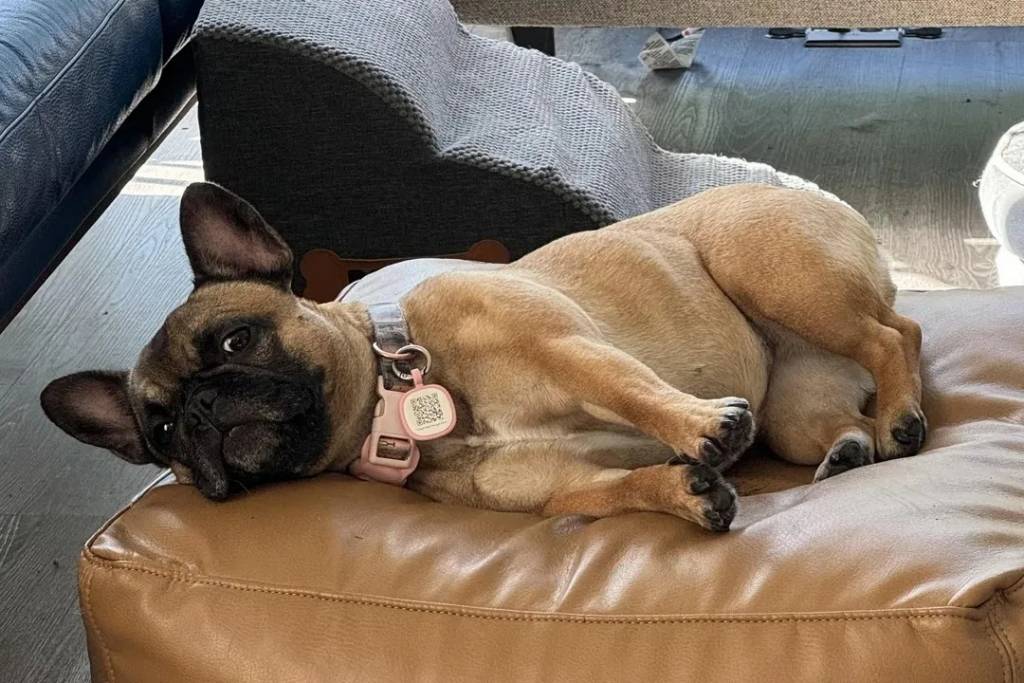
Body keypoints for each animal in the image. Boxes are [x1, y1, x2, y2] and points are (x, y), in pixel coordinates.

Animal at [41, 181, 926, 531]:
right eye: (159, 434)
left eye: (234, 339)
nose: (198, 408)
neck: (399, 403)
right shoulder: (559, 485)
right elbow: (615, 491)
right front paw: (685, 490)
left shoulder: (568, 349)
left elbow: (635, 390)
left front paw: (701, 425)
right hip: (795, 409)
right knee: (847, 399)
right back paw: (857, 443)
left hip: (775, 276)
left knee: (898, 335)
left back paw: (904, 415)